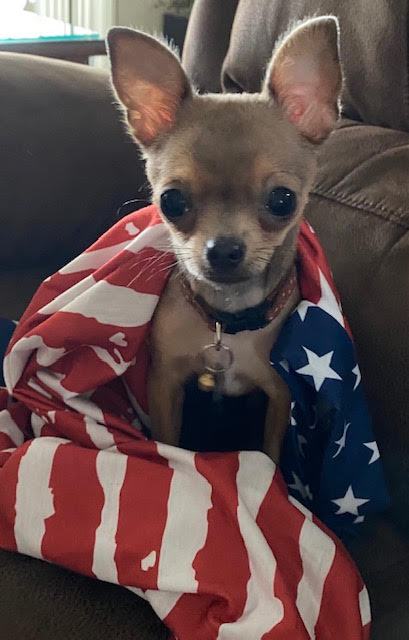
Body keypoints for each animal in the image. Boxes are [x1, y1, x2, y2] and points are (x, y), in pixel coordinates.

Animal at [107, 16, 342, 462]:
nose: (224, 250)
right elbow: (168, 441)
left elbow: (270, 455)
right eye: (172, 201)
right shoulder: (164, 385)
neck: (227, 322)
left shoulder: (279, 398)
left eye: (283, 200)